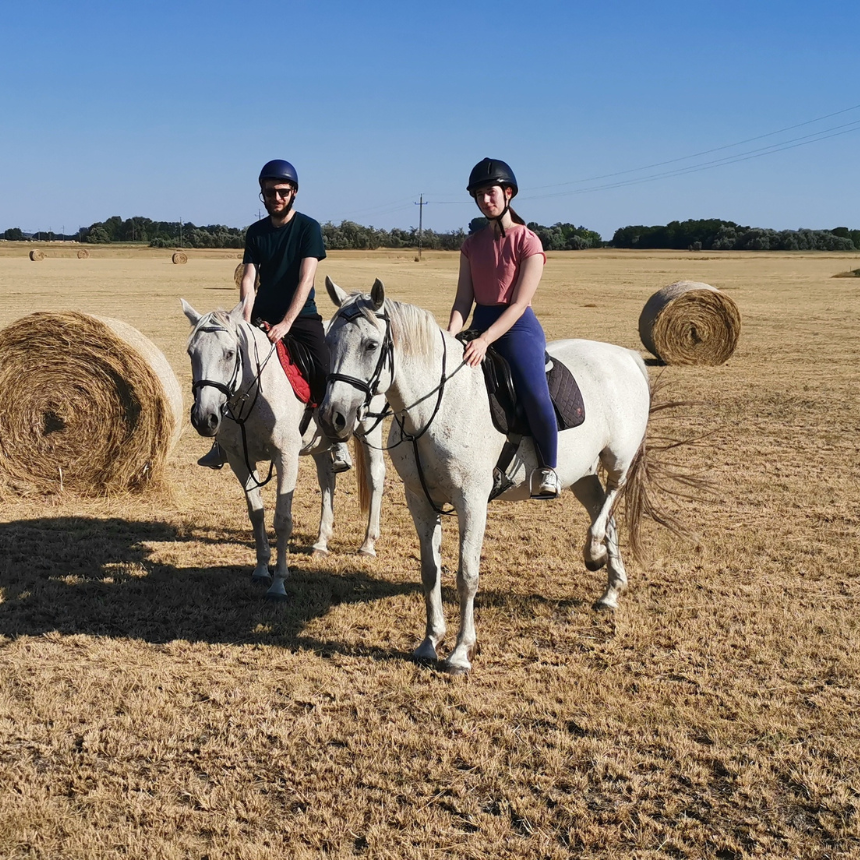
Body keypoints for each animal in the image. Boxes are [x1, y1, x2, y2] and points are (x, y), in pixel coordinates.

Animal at [181, 298, 386, 600]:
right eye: (191, 352)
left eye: (229, 354)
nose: (204, 418)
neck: (255, 393)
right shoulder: (239, 460)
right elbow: (256, 514)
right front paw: (261, 569)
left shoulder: (286, 457)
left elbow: (282, 520)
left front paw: (278, 582)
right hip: (320, 444)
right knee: (327, 480)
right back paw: (321, 542)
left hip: (369, 428)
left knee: (375, 476)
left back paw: (368, 544)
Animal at [320, 278, 656, 676]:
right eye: (329, 341)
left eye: (371, 345)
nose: (333, 417)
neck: (438, 404)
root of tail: (625, 356)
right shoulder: (419, 499)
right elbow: (430, 571)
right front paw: (429, 642)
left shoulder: (472, 502)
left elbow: (467, 575)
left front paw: (460, 652)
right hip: (583, 474)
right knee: (608, 516)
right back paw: (610, 590)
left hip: (618, 458)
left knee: (610, 502)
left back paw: (593, 552)